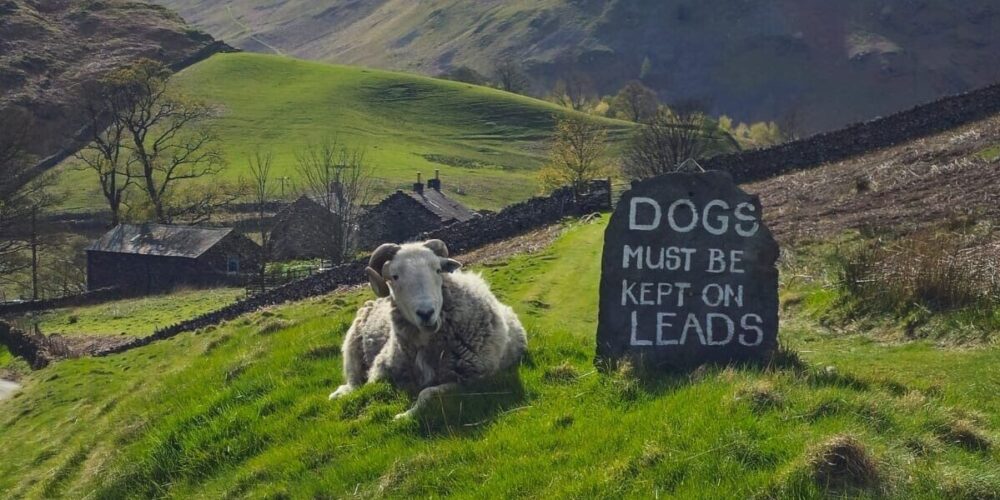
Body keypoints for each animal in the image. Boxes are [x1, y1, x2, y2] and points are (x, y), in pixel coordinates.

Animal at [329, 239, 527, 419]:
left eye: (438, 270)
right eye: (395, 276)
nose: (426, 313)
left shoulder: (472, 381)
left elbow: (427, 393)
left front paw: (405, 415)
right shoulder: (380, 370)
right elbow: (369, 386)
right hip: (352, 348)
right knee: (353, 381)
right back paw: (338, 394)